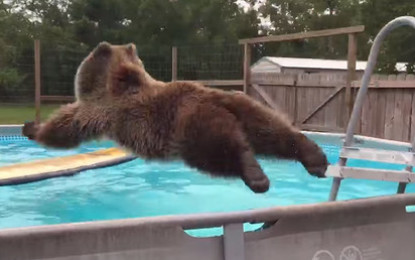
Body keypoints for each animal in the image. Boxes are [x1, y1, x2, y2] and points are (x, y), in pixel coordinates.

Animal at [22, 41, 330, 193]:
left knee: (222, 149)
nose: (101, 48)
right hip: (246, 108)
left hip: (190, 128)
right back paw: (315, 157)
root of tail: (219, 101)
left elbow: (64, 128)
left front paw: (32, 127)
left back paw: (255, 176)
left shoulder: (99, 109)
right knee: (272, 131)